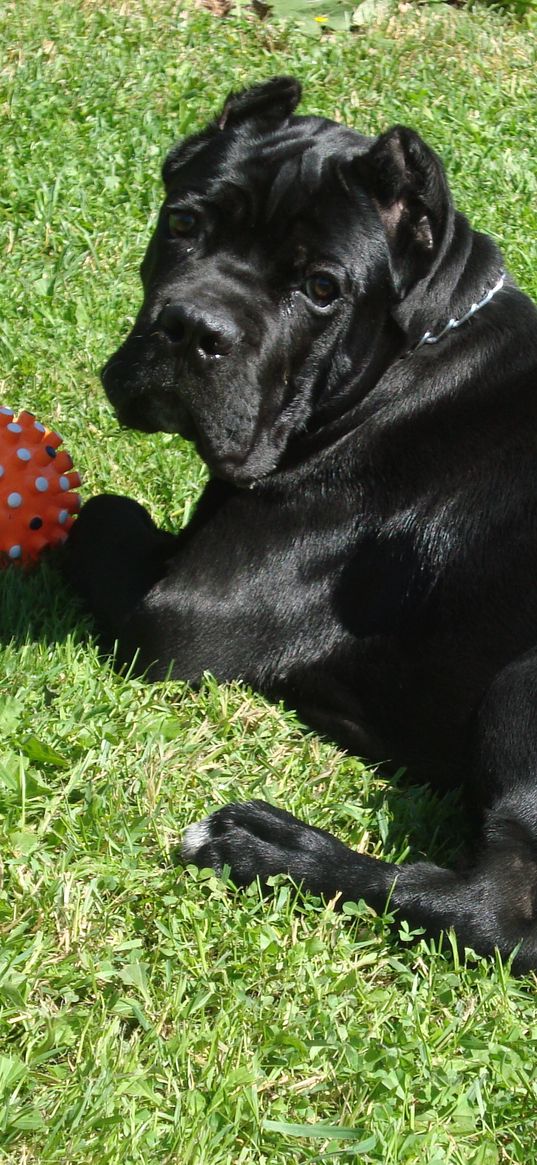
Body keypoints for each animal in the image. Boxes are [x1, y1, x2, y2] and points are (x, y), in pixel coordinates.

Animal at [66, 77, 537, 969]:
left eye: (322, 288)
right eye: (183, 223)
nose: (192, 328)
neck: (409, 352)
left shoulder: (184, 613)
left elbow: (96, 514)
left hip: (519, 685)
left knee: (498, 906)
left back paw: (263, 842)